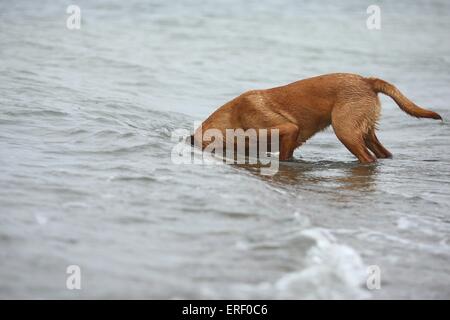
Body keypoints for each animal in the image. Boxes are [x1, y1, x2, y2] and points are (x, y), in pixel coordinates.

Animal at [191, 72, 442, 162]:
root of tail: (367, 80)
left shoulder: (289, 130)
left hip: (345, 132)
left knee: (368, 159)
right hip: (366, 133)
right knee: (382, 154)